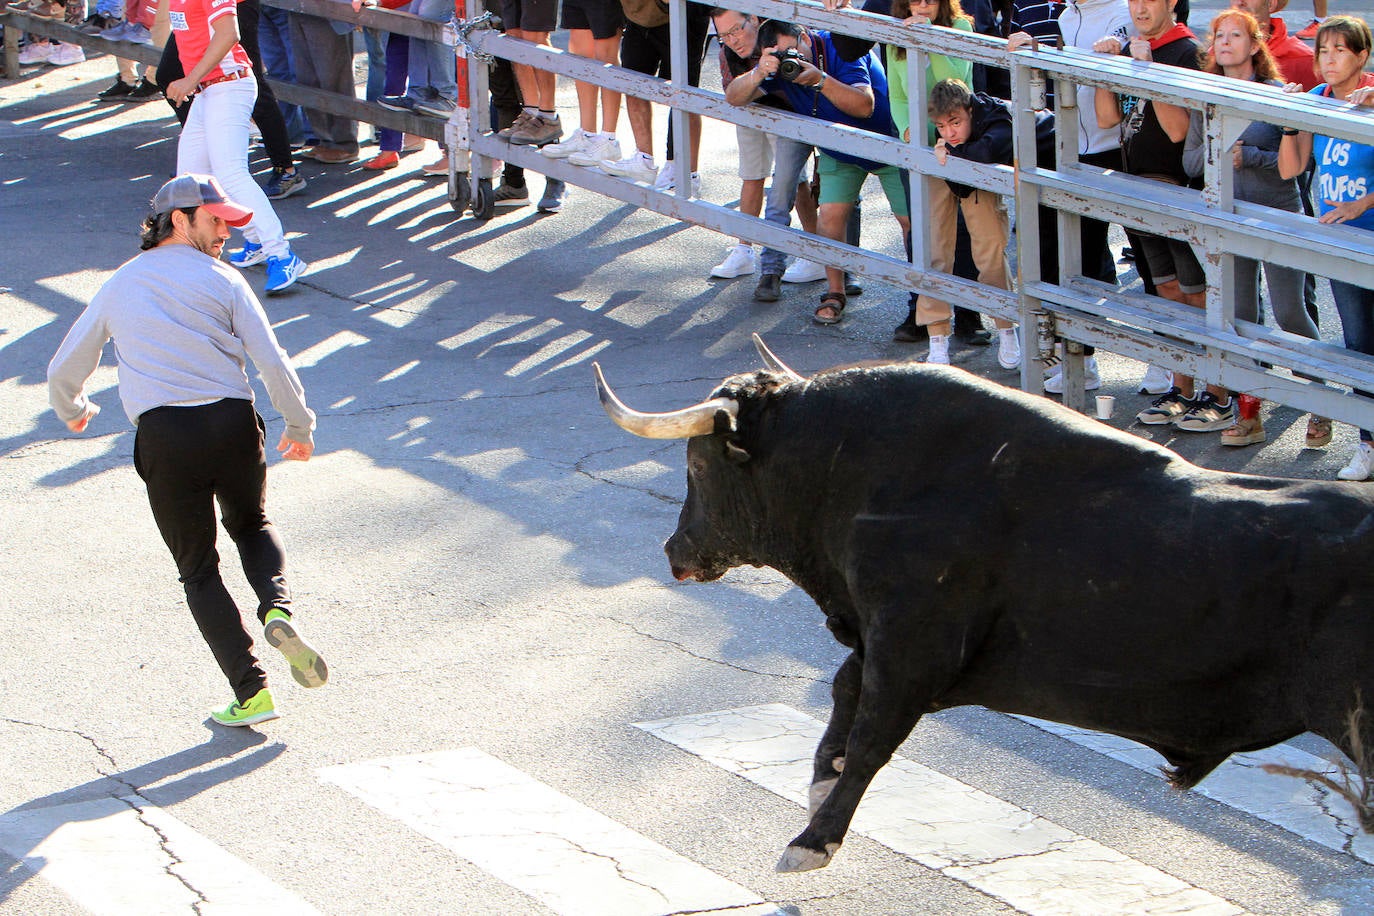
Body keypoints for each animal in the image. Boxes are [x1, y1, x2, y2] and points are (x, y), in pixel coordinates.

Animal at [596, 347, 1374, 873]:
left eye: (698, 465)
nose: (674, 548)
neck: (866, 474)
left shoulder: (912, 651)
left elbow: (872, 736)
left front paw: (813, 839)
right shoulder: (896, 646)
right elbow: (844, 694)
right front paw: (818, 780)